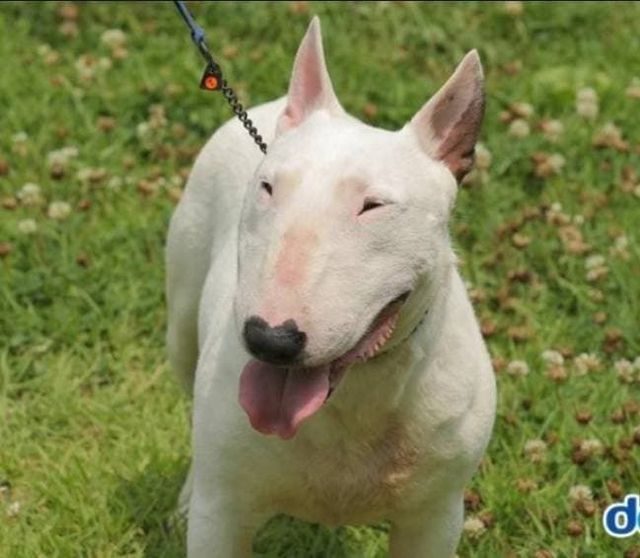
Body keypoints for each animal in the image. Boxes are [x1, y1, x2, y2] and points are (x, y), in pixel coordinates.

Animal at [166, 17, 496, 558]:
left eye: (373, 206)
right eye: (268, 188)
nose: (270, 340)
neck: (355, 391)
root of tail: (274, 104)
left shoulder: (434, 516)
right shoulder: (224, 515)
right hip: (182, 317)